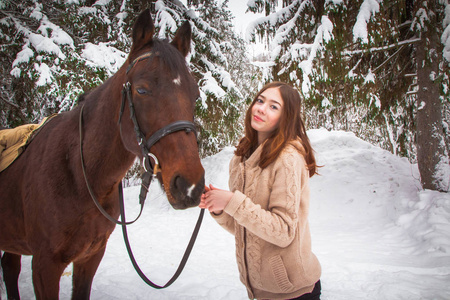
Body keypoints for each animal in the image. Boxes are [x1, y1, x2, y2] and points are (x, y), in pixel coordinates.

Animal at [0, 9, 204, 300]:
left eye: (195, 94)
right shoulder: (44, 264)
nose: (190, 185)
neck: (79, 174)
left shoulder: (90, 257)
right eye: (141, 90)